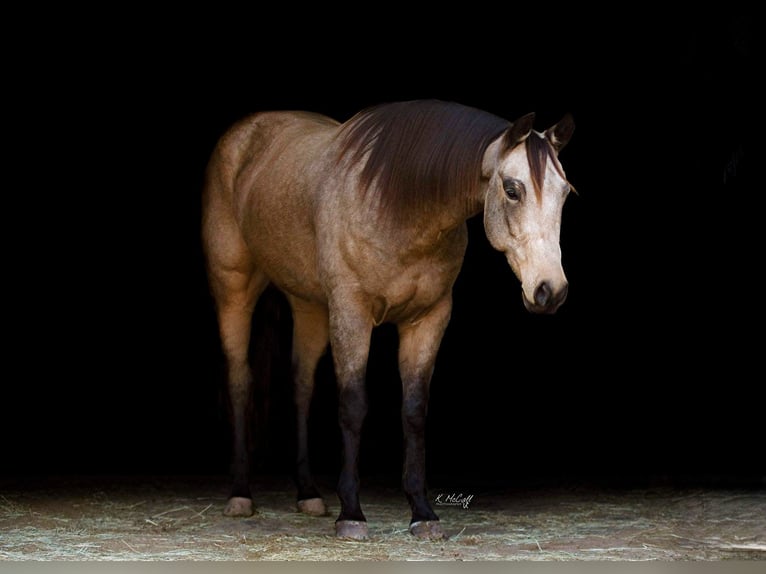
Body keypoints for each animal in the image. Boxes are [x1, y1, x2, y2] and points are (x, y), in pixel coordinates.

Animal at [202, 97, 576, 544]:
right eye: (512, 189)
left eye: (565, 193)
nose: (550, 290)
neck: (396, 205)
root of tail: (244, 133)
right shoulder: (351, 314)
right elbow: (353, 406)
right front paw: (351, 514)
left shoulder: (428, 319)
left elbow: (413, 410)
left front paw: (423, 513)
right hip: (234, 289)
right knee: (240, 382)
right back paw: (241, 494)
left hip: (308, 306)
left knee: (301, 388)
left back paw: (308, 493)